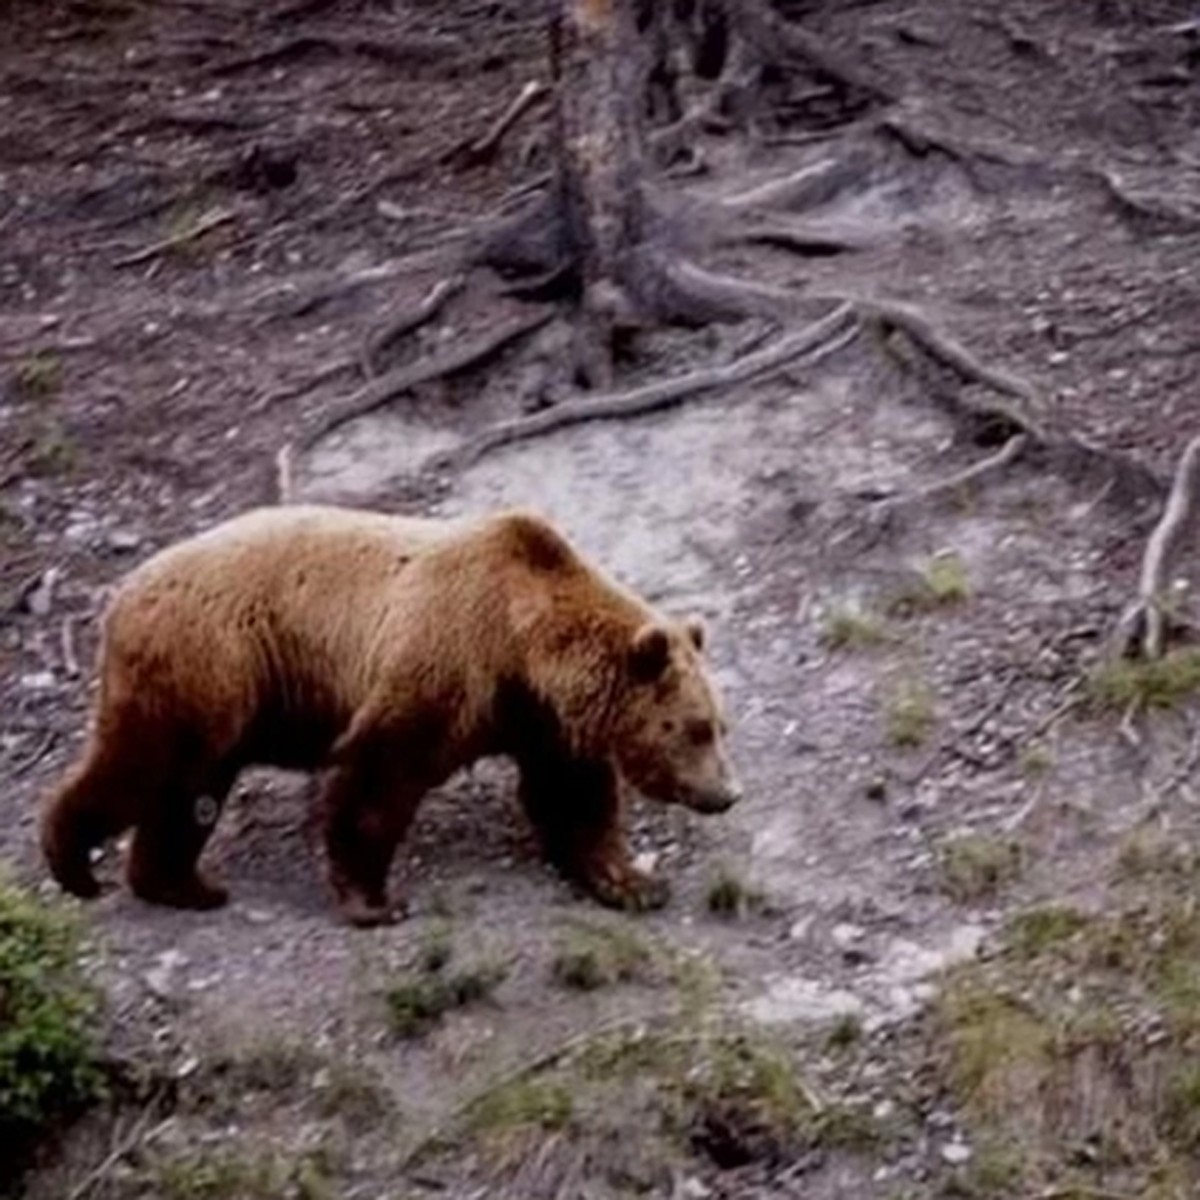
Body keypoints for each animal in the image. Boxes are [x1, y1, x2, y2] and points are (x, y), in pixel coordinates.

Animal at [39, 501, 739, 921]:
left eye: (719, 725)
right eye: (696, 728)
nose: (728, 793)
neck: (523, 648)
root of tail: (121, 595)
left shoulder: (541, 721)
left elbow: (574, 798)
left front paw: (631, 881)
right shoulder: (444, 661)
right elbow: (378, 778)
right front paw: (375, 900)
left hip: (222, 697)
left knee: (188, 792)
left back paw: (180, 884)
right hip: (206, 662)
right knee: (143, 765)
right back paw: (73, 863)